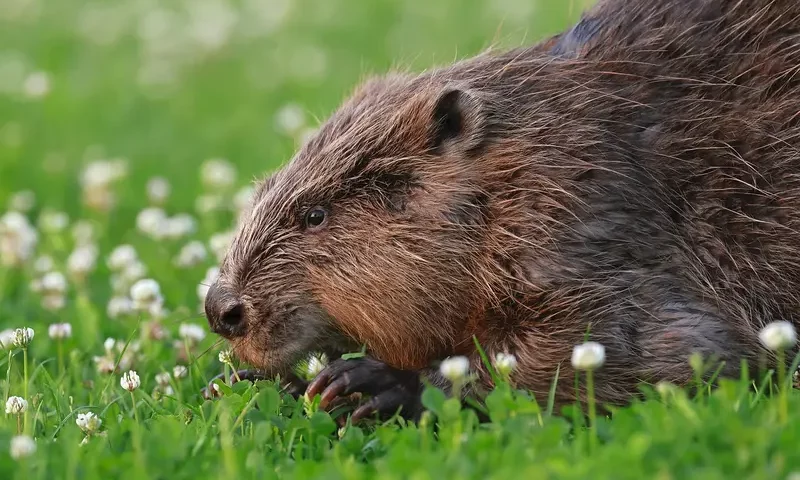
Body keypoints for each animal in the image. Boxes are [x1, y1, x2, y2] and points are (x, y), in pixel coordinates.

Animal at [205, 0, 800, 420]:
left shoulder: (591, 225)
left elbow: (681, 348)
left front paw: (373, 382)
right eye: (263, 189)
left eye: (315, 215)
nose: (220, 309)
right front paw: (253, 382)